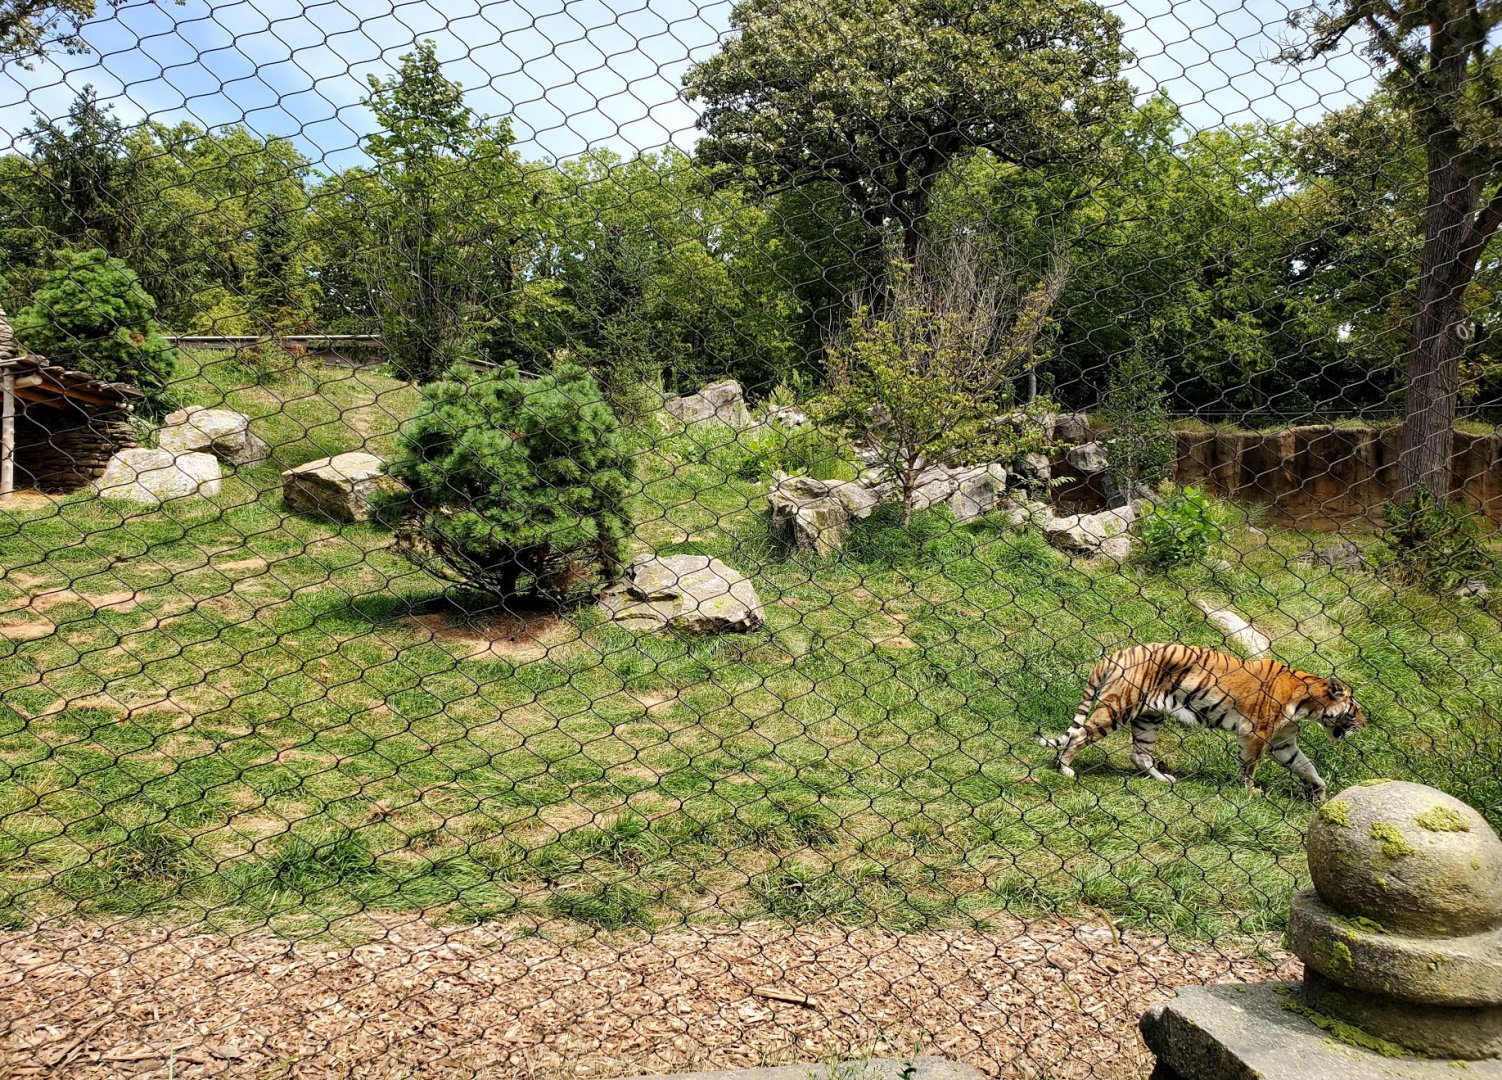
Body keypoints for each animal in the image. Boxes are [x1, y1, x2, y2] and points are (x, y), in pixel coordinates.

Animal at [1036, 644, 1365, 803]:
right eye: (1356, 708)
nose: (1363, 724)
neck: (1309, 707)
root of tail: (1120, 651)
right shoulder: (1257, 734)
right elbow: (1250, 766)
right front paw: (1249, 791)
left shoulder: (1282, 742)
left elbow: (1306, 766)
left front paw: (1320, 793)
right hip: (1120, 706)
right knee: (1080, 735)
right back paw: (1065, 769)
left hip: (1149, 716)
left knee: (1139, 753)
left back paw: (1163, 779)